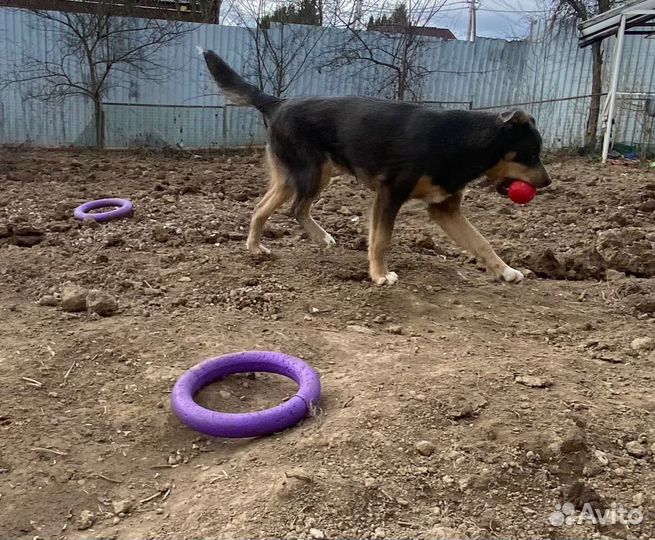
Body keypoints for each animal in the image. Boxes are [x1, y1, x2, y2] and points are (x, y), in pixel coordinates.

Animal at [202, 49, 552, 286]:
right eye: (531, 154)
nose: (548, 182)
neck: (462, 141)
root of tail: (278, 103)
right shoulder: (390, 193)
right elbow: (381, 239)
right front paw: (380, 275)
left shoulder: (445, 209)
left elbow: (481, 241)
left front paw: (506, 271)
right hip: (313, 173)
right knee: (295, 209)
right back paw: (318, 237)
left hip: (294, 176)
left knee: (261, 208)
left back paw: (256, 247)